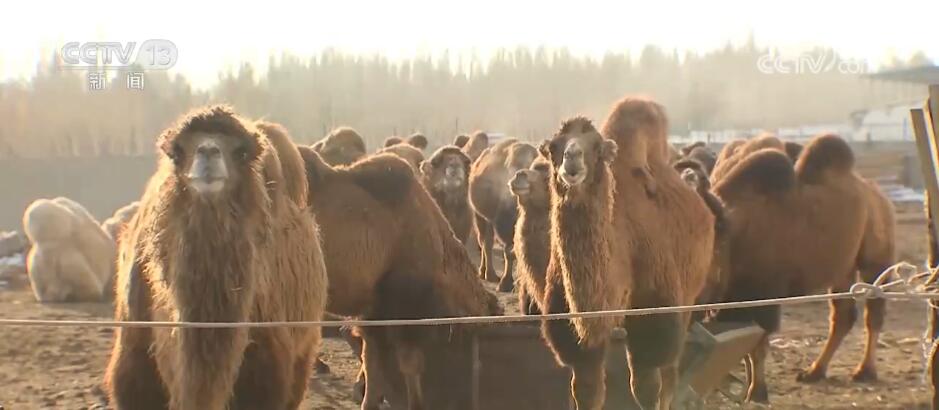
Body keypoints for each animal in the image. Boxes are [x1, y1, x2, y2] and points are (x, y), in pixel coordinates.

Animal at [103, 106, 328, 410]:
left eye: (241, 152)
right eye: (177, 152)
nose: (208, 150)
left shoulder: (268, 367)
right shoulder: (133, 361)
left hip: (303, 350)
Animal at [468, 138, 536, 292]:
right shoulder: (504, 223)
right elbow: (509, 251)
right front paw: (506, 282)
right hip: (480, 216)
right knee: (485, 243)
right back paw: (488, 274)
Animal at [544, 97, 712, 410]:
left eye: (596, 147)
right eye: (553, 147)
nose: (572, 158)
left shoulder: (656, 314)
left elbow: (647, 387)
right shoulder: (573, 335)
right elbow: (587, 390)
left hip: (689, 296)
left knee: (670, 374)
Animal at [716, 134, 900, 400]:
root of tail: (877, 194)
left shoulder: (764, 290)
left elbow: (757, 344)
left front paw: (757, 392)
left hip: (876, 258)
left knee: (873, 311)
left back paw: (864, 371)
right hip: (842, 267)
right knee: (843, 315)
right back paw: (814, 372)